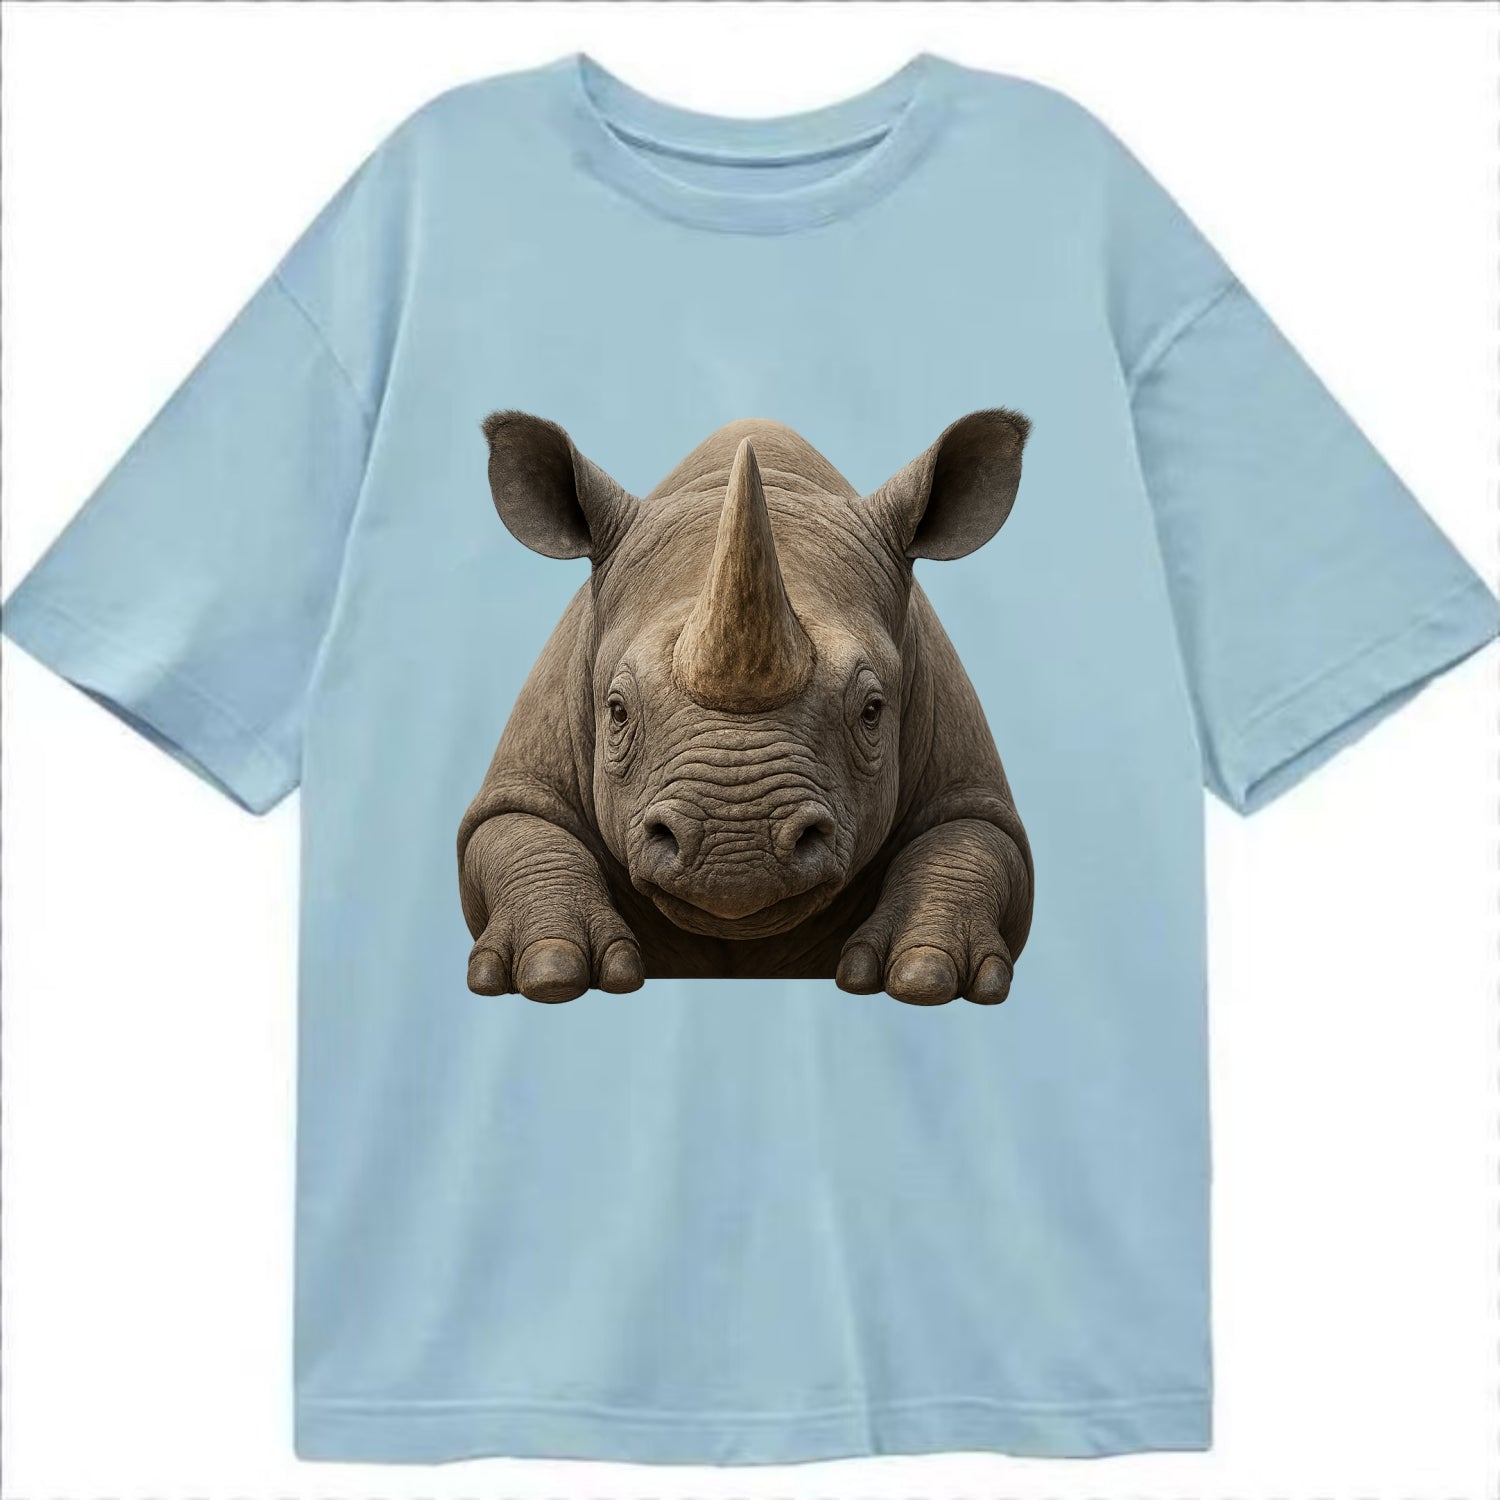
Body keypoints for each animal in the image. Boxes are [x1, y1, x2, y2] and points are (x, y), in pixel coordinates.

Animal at [457, 410, 1034, 1007]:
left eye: (872, 711)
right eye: (616, 711)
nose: (736, 852)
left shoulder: (964, 773)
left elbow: (971, 839)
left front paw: (925, 975)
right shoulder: (527, 770)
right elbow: (516, 828)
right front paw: (551, 971)